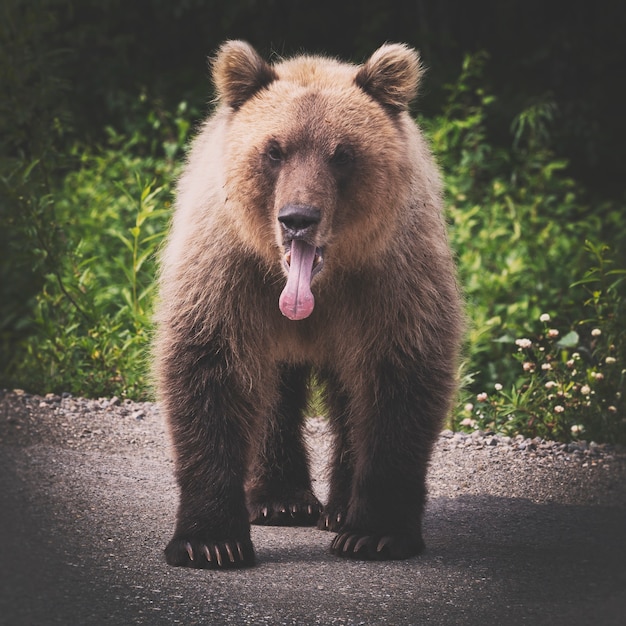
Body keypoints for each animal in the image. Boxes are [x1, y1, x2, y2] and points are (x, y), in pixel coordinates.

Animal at [154, 37, 460, 564]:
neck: (316, 286)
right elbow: (211, 365)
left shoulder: (390, 275)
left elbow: (397, 377)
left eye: (342, 153)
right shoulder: (228, 268)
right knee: (273, 388)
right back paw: (281, 501)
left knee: (347, 394)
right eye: (274, 150)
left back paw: (337, 509)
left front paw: (373, 532)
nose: (298, 217)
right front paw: (210, 541)